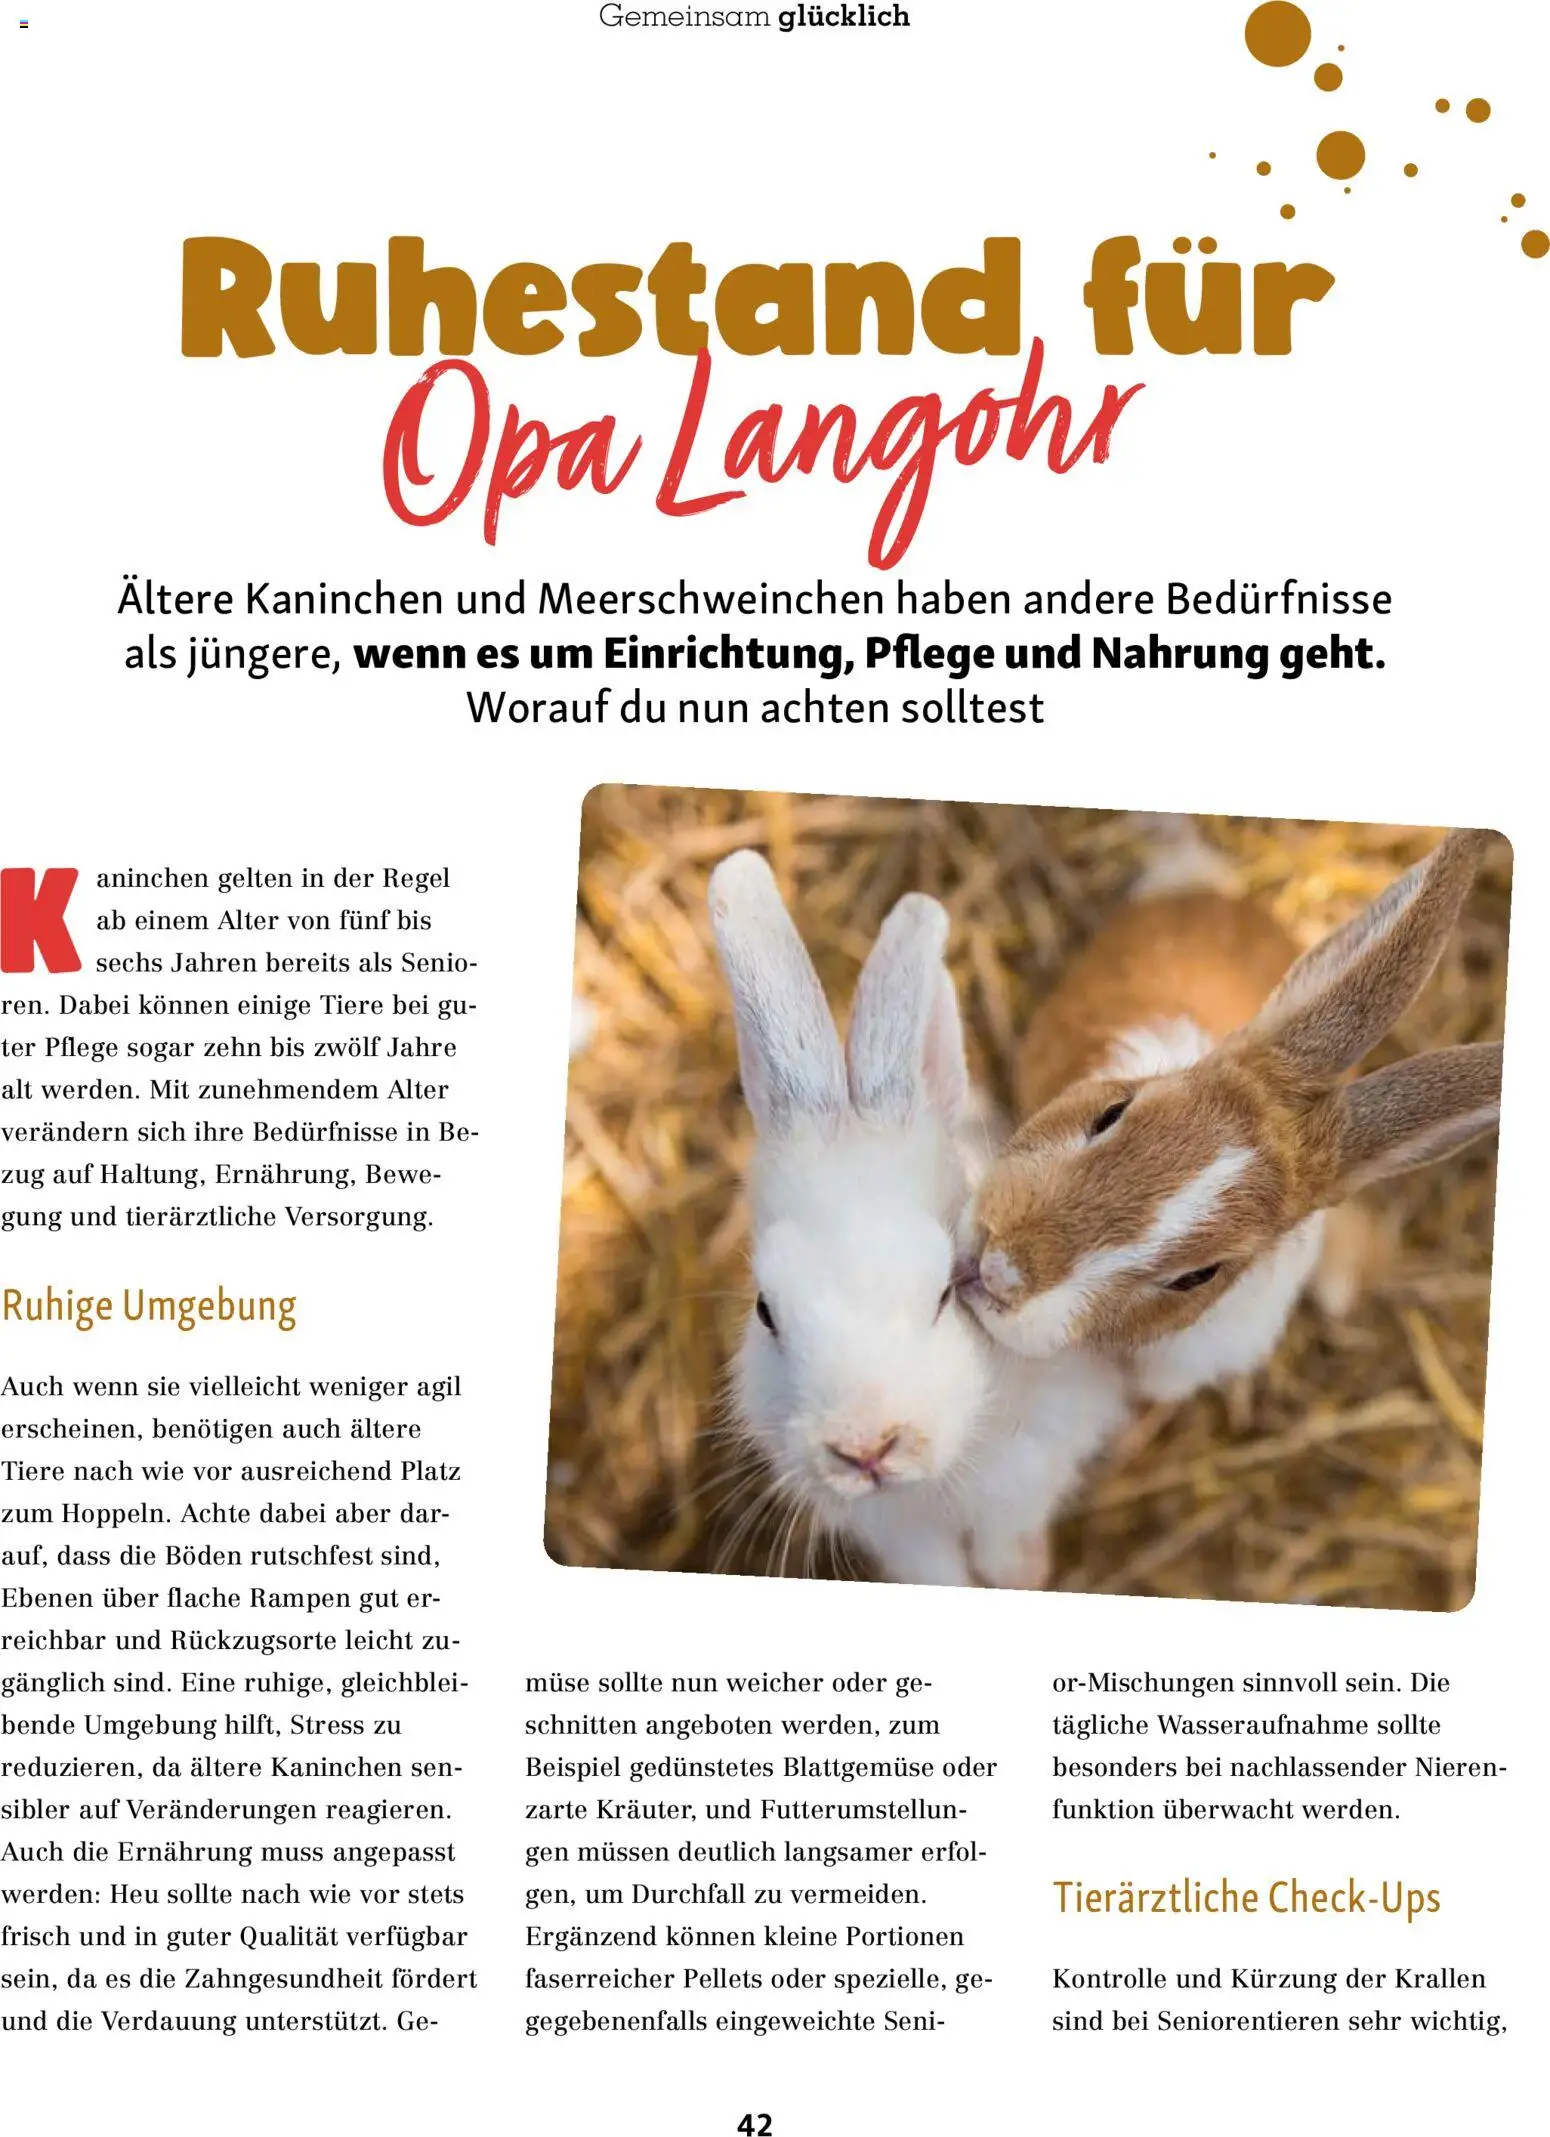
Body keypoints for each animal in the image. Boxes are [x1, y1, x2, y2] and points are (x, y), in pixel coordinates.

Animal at [708, 849, 1131, 1589]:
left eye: (944, 1293)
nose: (866, 1446)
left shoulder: (1029, 1472)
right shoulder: (900, 1534)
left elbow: (1006, 1544)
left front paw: (1024, 1572)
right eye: (765, 1312)